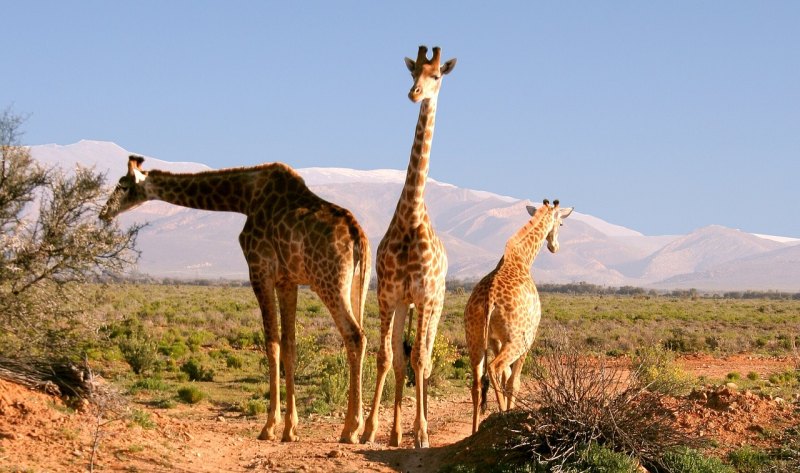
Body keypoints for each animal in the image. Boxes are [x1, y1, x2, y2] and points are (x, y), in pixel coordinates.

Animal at [101, 155, 372, 442]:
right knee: (362, 337)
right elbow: (289, 345)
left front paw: (269, 427)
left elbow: (271, 343)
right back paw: (358, 428)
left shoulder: (259, 269)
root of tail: (358, 236)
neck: (244, 198)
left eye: (123, 184)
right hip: (358, 284)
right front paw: (290, 428)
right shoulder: (287, 281)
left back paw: (351, 429)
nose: (104, 212)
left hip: (328, 281)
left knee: (354, 335)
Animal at [466, 197, 572, 434]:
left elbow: (507, 378)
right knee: (494, 368)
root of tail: (489, 301)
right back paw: (500, 416)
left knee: (477, 383)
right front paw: (509, 411)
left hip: (474, 339)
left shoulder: (496, 339)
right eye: (561, 223)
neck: (522, 258)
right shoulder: (528, 338)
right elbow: (513, 381)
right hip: (516, 340)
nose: (555, 247)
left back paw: (475, 431)